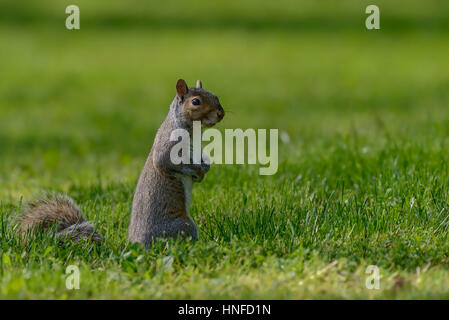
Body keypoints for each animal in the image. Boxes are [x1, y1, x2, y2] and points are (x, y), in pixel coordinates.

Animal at [18, 79, 224, 246]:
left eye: (215, 95)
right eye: (196, 101)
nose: (220, 113)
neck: (193, 130)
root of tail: (134, 246)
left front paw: (205, 168)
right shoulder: (169, 147)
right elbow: (170, 163)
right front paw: (198, 172)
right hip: (184, 226)